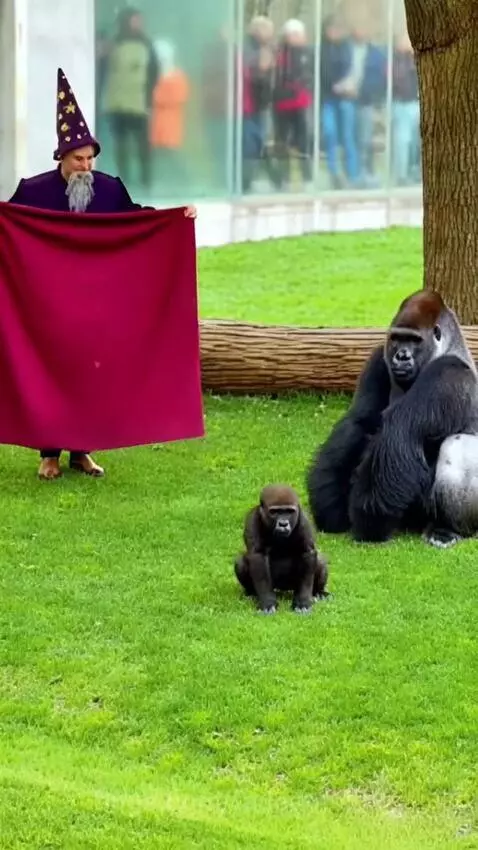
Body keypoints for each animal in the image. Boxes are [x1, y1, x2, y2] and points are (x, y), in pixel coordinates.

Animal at [234, 484, 329, 614]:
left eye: (289, 511)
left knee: (320, 561)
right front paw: (267, 602)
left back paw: (318, 592)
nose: (283, 524)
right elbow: (257, 558)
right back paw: (252, 593)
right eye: (274, 512)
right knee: (241, 562)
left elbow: (307, 553)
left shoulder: (304, 519)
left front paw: (302, 602)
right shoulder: (253, 519)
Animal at [307, 290, 478, 547]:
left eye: (415, 340)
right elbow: (358, 422)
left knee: (457, 444)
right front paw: (329, 505)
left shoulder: (447, 373)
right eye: (397, 338)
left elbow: (402, 431)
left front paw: (370, 521)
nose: (401, 356)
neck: (447, 347)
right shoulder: (379, 356)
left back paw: (446, 529)